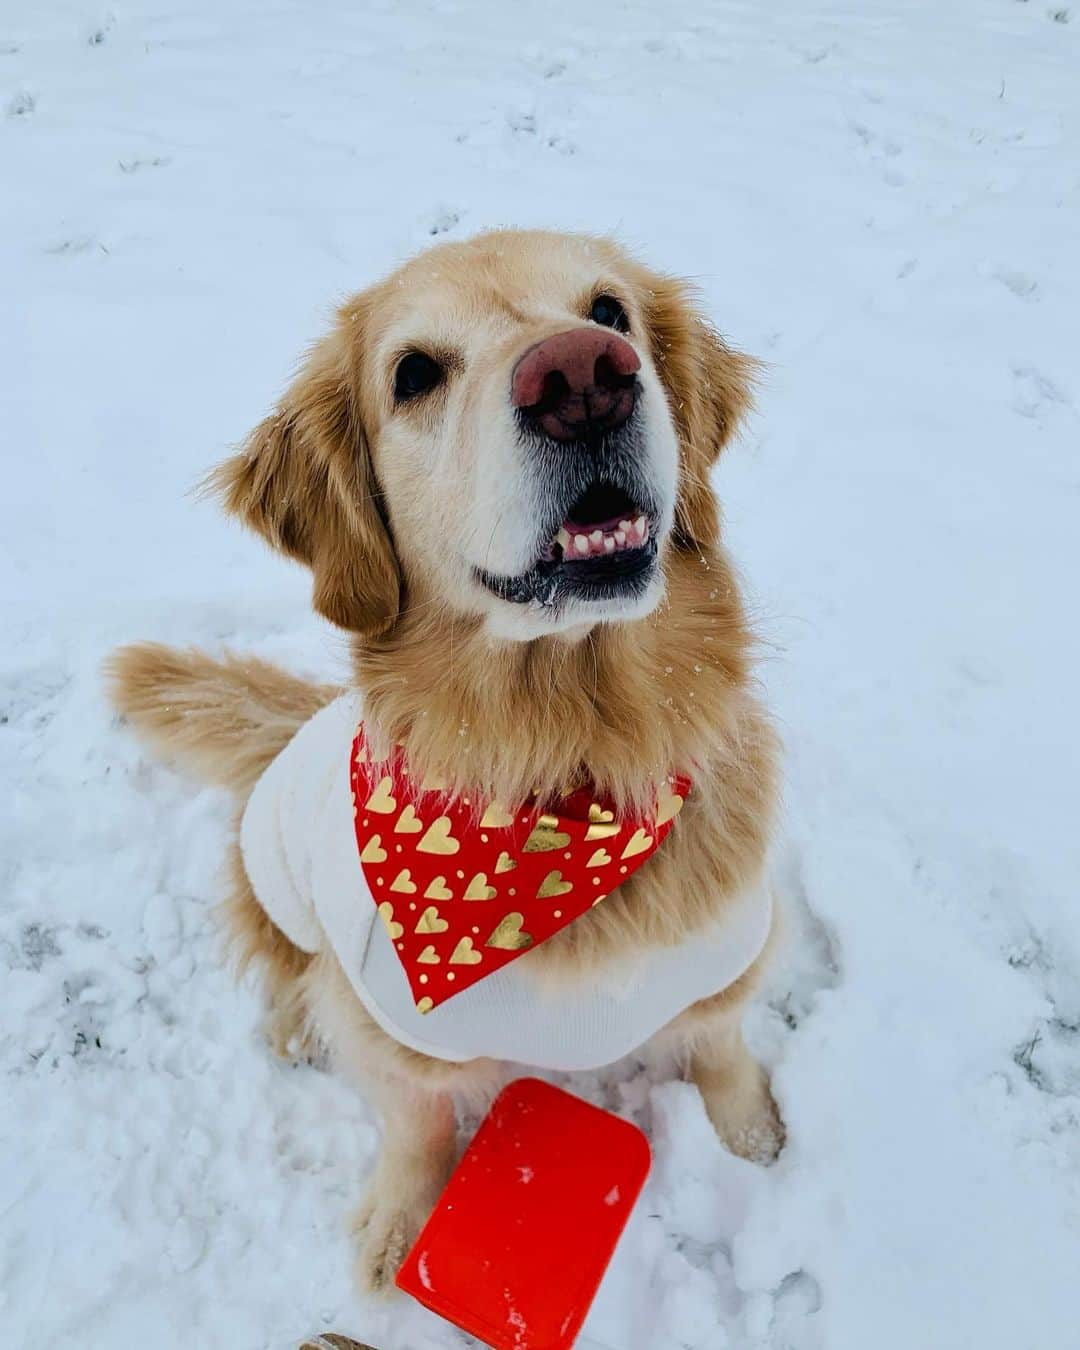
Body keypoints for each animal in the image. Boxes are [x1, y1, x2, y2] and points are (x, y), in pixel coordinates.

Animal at [109, 226, 783, 1290]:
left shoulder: (730, 956)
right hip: (272, 875)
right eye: (415, 374)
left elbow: (719, 1040)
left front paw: (748, 1126)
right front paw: (399, 1224)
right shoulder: (394, 1034)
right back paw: (294, 1022)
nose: (583, 378)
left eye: (608, 312)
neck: (565, 763)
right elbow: (417, 1124)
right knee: (283, 958)